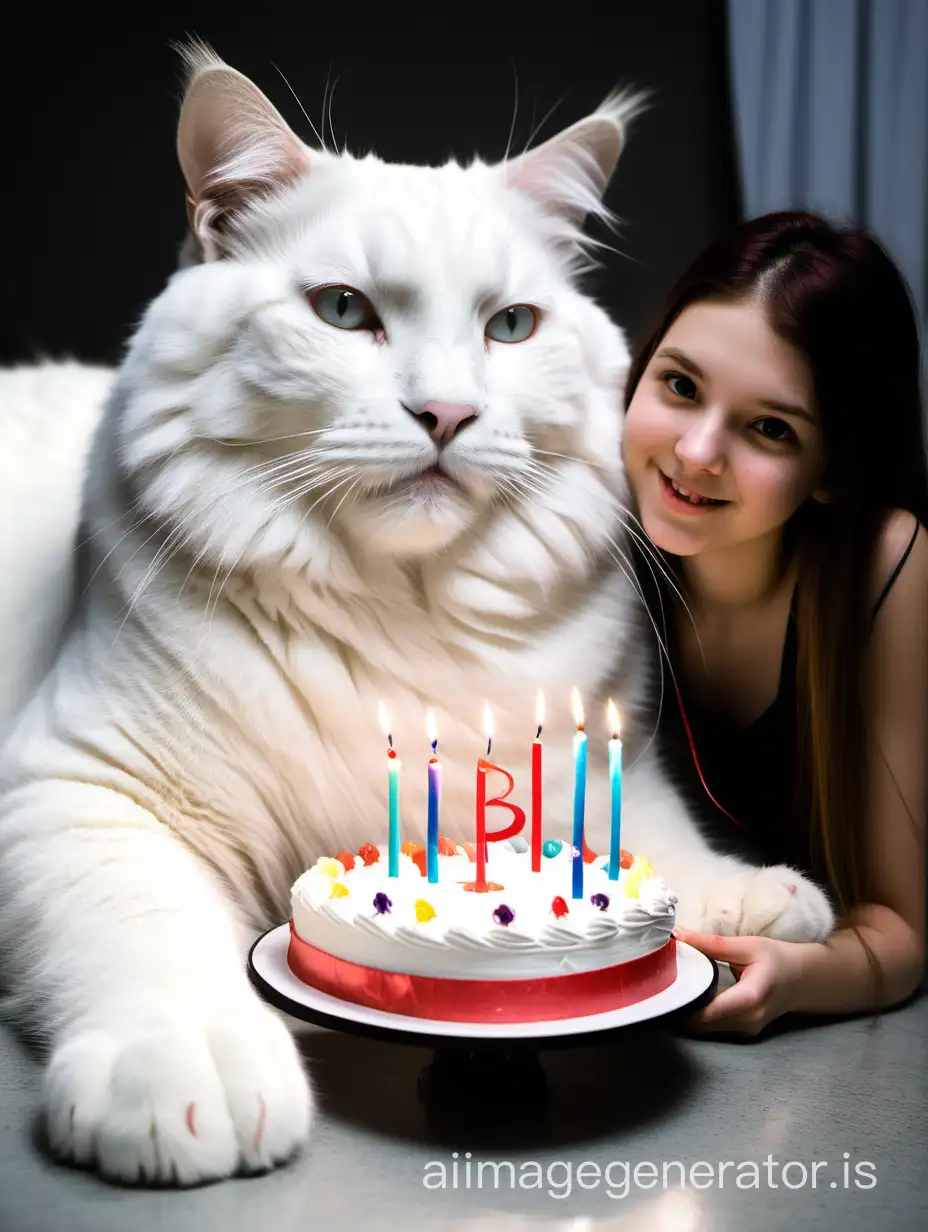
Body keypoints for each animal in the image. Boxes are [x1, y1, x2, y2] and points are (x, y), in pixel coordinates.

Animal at [0, 43, 833, 1187]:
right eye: (344, 312)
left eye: (511, 326)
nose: (447, 414)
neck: (400, 609)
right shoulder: (77, 786)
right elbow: (145, 930)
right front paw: (186, 1067)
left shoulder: (587, 756)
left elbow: (648, 830)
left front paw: (750, 894)